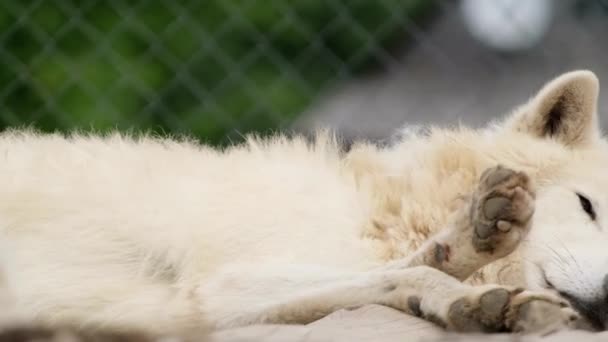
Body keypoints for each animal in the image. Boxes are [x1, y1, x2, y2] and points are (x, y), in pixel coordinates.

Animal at [1, 70, 608, 336]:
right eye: (587, 206)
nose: (603, 302)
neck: (392, 214)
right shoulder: (219, 282)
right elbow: (401, 273)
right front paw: (470, 279)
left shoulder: (207, 305)